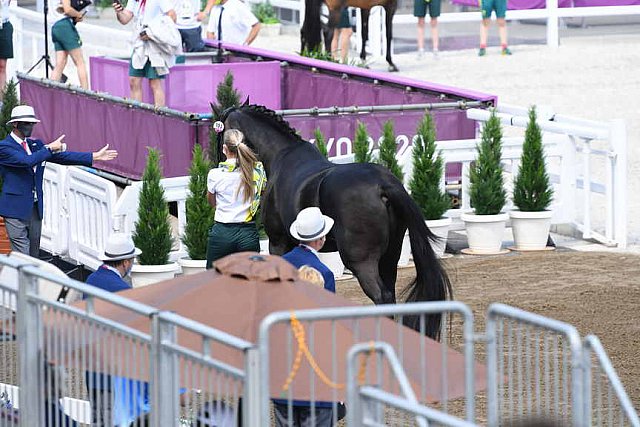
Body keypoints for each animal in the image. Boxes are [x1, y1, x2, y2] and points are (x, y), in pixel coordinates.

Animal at [218, 104, 452, 342]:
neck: (281, 157)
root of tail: (383, 185)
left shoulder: (278, 242)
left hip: (360, 261)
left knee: (382, 295)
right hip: (390, 256)